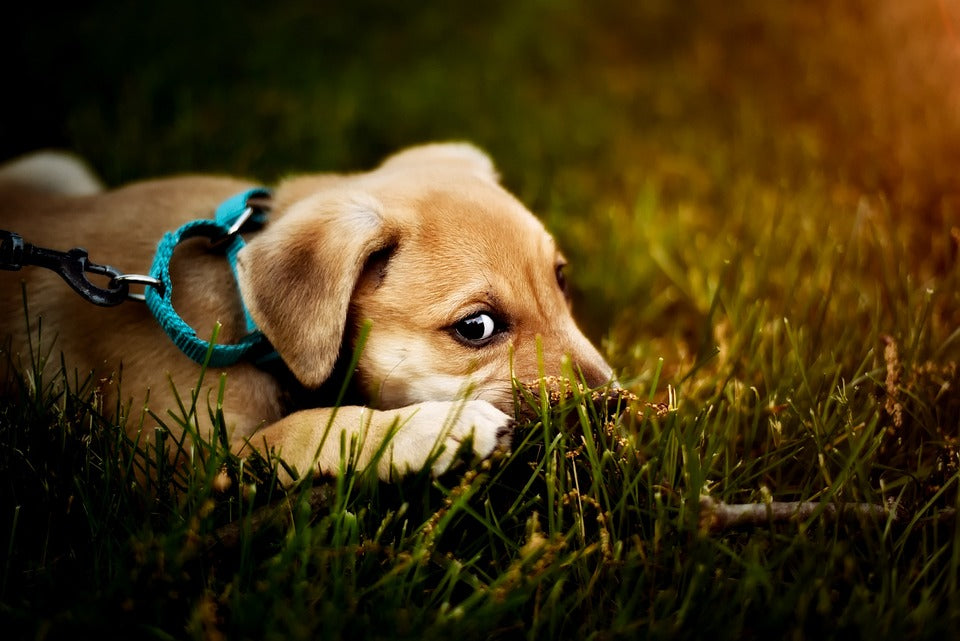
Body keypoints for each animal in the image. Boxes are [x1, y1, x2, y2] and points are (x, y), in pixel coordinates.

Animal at [0, 144, 612, 480]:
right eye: (477, 327)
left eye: (561, 279)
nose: (612, 406)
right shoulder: (185, 467)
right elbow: (312, 428)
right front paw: (439, 429)